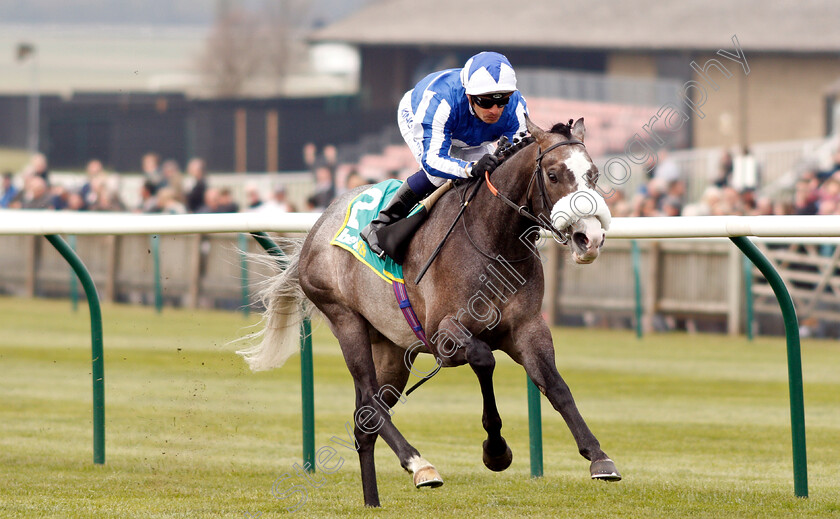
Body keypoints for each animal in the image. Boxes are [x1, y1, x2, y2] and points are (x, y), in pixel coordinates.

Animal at [240, 117, 620, 508]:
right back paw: (420, 465)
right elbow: (484, 359)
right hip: (346, 321)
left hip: (391, 349)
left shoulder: (527, 328)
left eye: (593, 174)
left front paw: (598, 456)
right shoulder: (442, 336)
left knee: (366, 419)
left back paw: (373, 500)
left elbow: (556, 386)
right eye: (554, 174)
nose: (589, 238)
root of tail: (318, 226)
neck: (492, 240)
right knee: (368, 397)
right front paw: (495, 450)